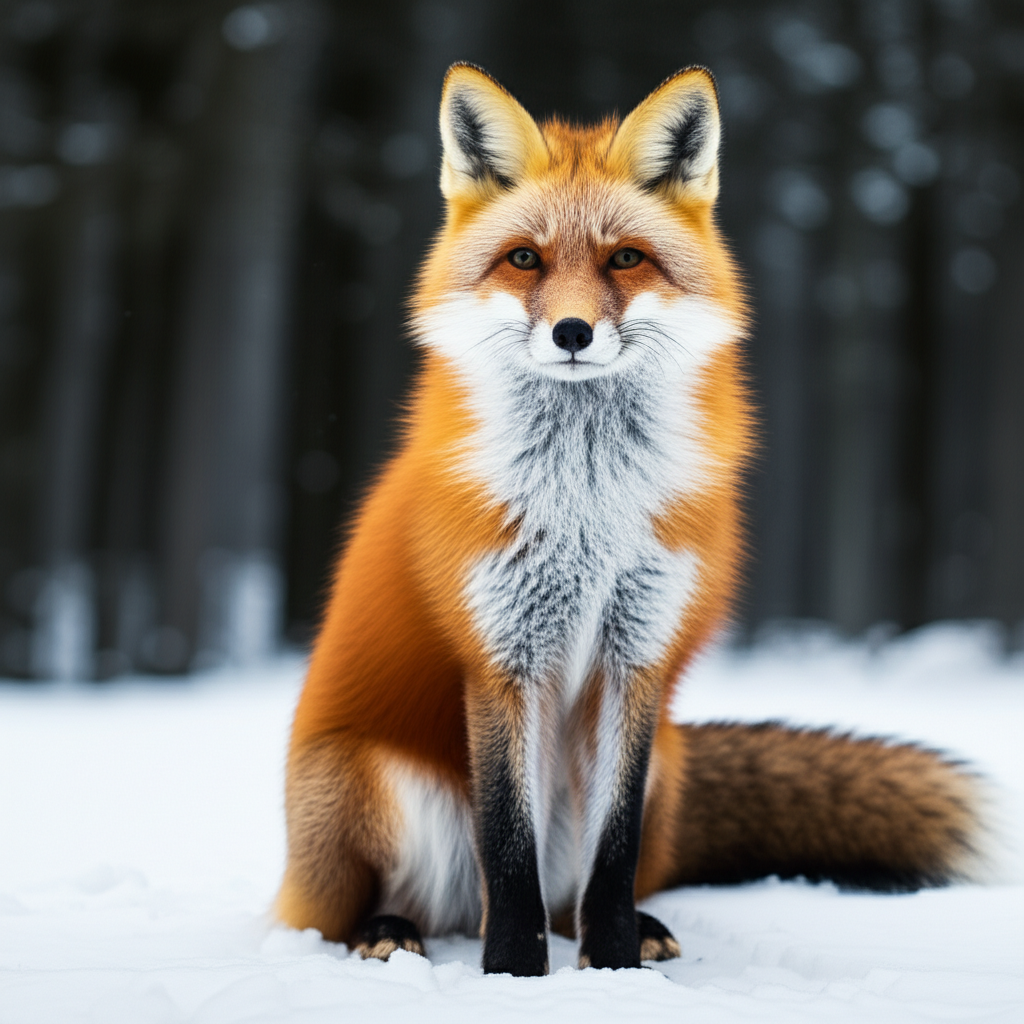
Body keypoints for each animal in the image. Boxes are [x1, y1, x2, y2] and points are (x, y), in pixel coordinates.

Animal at [276, 64, 984, 977]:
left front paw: (612, 967)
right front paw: (515, 975)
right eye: (525, 258)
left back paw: (636, 929)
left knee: (579, 889)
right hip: (374, 788)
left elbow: (610, 854)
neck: (588, 511)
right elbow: (507, 846)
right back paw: (389, 931)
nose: (572, 331)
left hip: (663, 766)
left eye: (625, 258)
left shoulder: (637, 653)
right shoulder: (502, 656)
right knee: (393, 906)